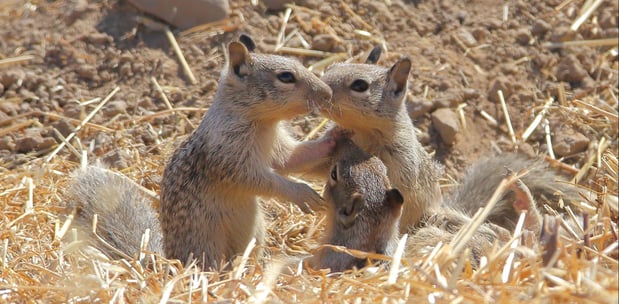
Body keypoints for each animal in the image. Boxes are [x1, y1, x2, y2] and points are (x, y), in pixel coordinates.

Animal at [71, 35, 348, 268]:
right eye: (286, 77)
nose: (327, 93)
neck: (262, 124)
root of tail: (168, 261)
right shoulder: (229, 157)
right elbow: (260, 179)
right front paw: (302, 193)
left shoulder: (276, 146)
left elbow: (292, 158)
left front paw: (332, 138)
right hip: (206, 240)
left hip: (255, 232)